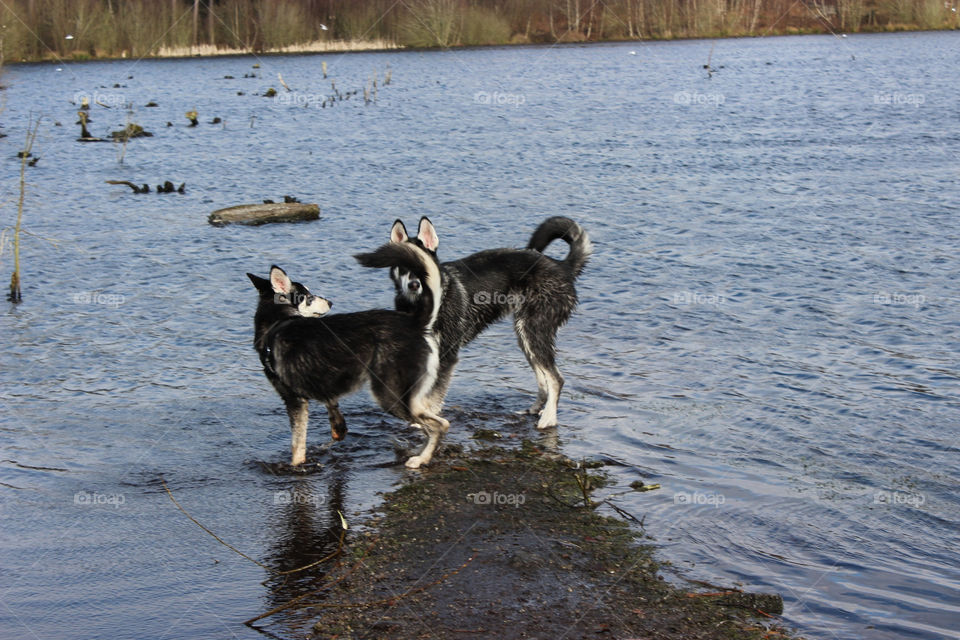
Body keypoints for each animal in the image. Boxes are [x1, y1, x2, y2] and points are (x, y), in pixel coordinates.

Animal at [244, 238, 446, 468]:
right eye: (309, 297)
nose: (330, 302)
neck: (277, 324)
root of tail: (414, 322)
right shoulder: (323, 385)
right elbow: (332, 407)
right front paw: (339, 429)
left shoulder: (294, 400)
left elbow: (297, 445)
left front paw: (296, 465)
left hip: (390, 396)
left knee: (440, 425)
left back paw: (421, 458)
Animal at [386, 216, 588, 430]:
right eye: (404, 266)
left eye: (424, 267)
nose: (414, 285)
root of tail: (563, 267)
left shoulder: (447, 355)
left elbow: (433, 395)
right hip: (525, 337)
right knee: (543, 381)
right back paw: (535, 410)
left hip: (533, 332)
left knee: (556, 379)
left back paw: (548, 418)